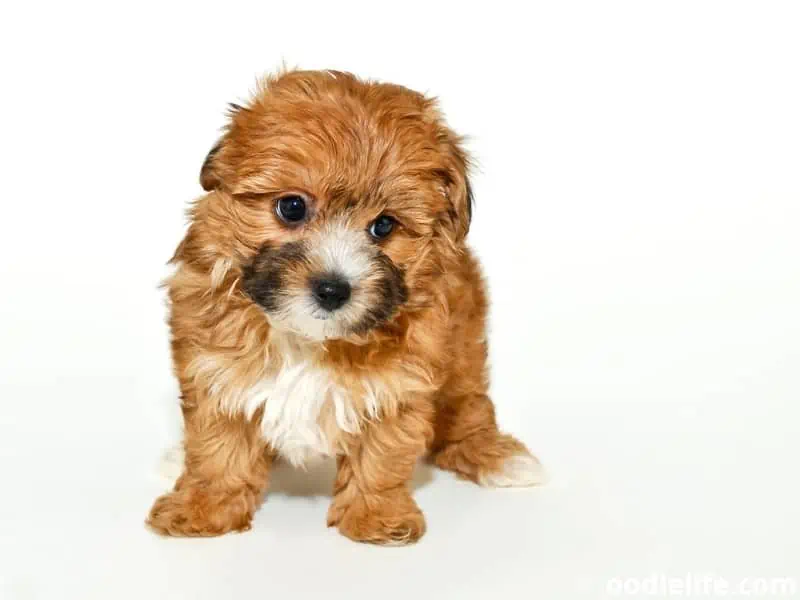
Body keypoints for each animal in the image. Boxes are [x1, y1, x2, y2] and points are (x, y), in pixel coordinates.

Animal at [145, 70, 544, 544]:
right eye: (292, 207)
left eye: (384, 226)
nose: (333, 289)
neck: (308, 339)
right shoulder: (215, 367)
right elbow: (217, 448)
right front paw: (202, 508)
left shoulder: (402, 381)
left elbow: (383, 452)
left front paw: (376, 515)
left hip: (464, 351)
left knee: (469, 407)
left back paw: (498, 456)